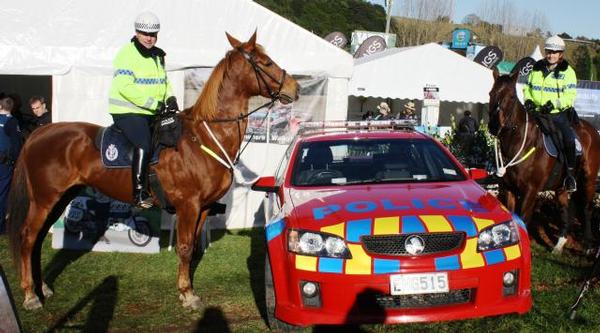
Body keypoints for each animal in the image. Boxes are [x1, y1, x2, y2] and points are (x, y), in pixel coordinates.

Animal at [6, 32, 300, 310]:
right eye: (266, 62)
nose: (294, 88)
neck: (204, 137)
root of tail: (40, 132)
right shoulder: (188, 206)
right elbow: (184, 248)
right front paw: (187, 294)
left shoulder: (203, 208)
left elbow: (193, 248)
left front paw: (186, 289)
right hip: (44, 199)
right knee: (28, 237)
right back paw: (30, 295)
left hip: (59, 198)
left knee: (38, 239)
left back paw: (43, 288)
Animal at [490, 70, 596, 252]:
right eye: (491, 93)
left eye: (511, 96)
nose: (493, 125)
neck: (523, 142)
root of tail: (592, 130)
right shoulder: (509, 189)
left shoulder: (531, 191)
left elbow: (523, 220)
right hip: (561, 188)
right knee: (565, 209)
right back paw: (559, 245)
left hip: (588, 180)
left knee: (587, 209)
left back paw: (588, 245)